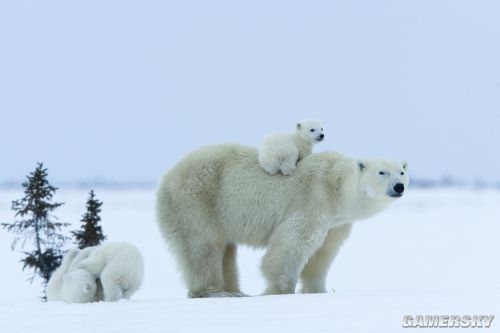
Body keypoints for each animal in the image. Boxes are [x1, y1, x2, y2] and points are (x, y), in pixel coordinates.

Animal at [157, 143, 410, 296]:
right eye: (382, 172)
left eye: (402, 172)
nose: (399, 186)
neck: (336, 185)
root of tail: (167, 176)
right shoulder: (314, 198)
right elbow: (294, 241)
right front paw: (280, 290)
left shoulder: (337, 222)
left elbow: (325, 252)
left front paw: (318, 290)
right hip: (196, 199)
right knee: (203, 246)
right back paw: (215, 292)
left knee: (225, 251)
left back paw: (236, 291)